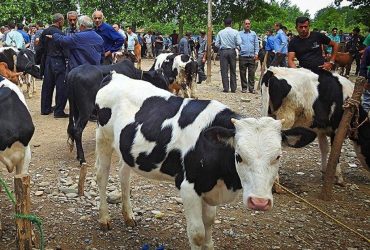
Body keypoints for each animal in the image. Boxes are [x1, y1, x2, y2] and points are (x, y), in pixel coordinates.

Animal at [94, 71, 316, 249]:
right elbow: (198, 234)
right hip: (103, 138)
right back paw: (104, 219)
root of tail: (115, 75)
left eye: (278, 156)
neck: (224, 179)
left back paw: (129, 216)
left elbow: (209, 225)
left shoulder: (210, 188)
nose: (259, 202)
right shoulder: (188, 187)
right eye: (238, 156)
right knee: (102, 176)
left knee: (124, 176)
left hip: (125, 150)